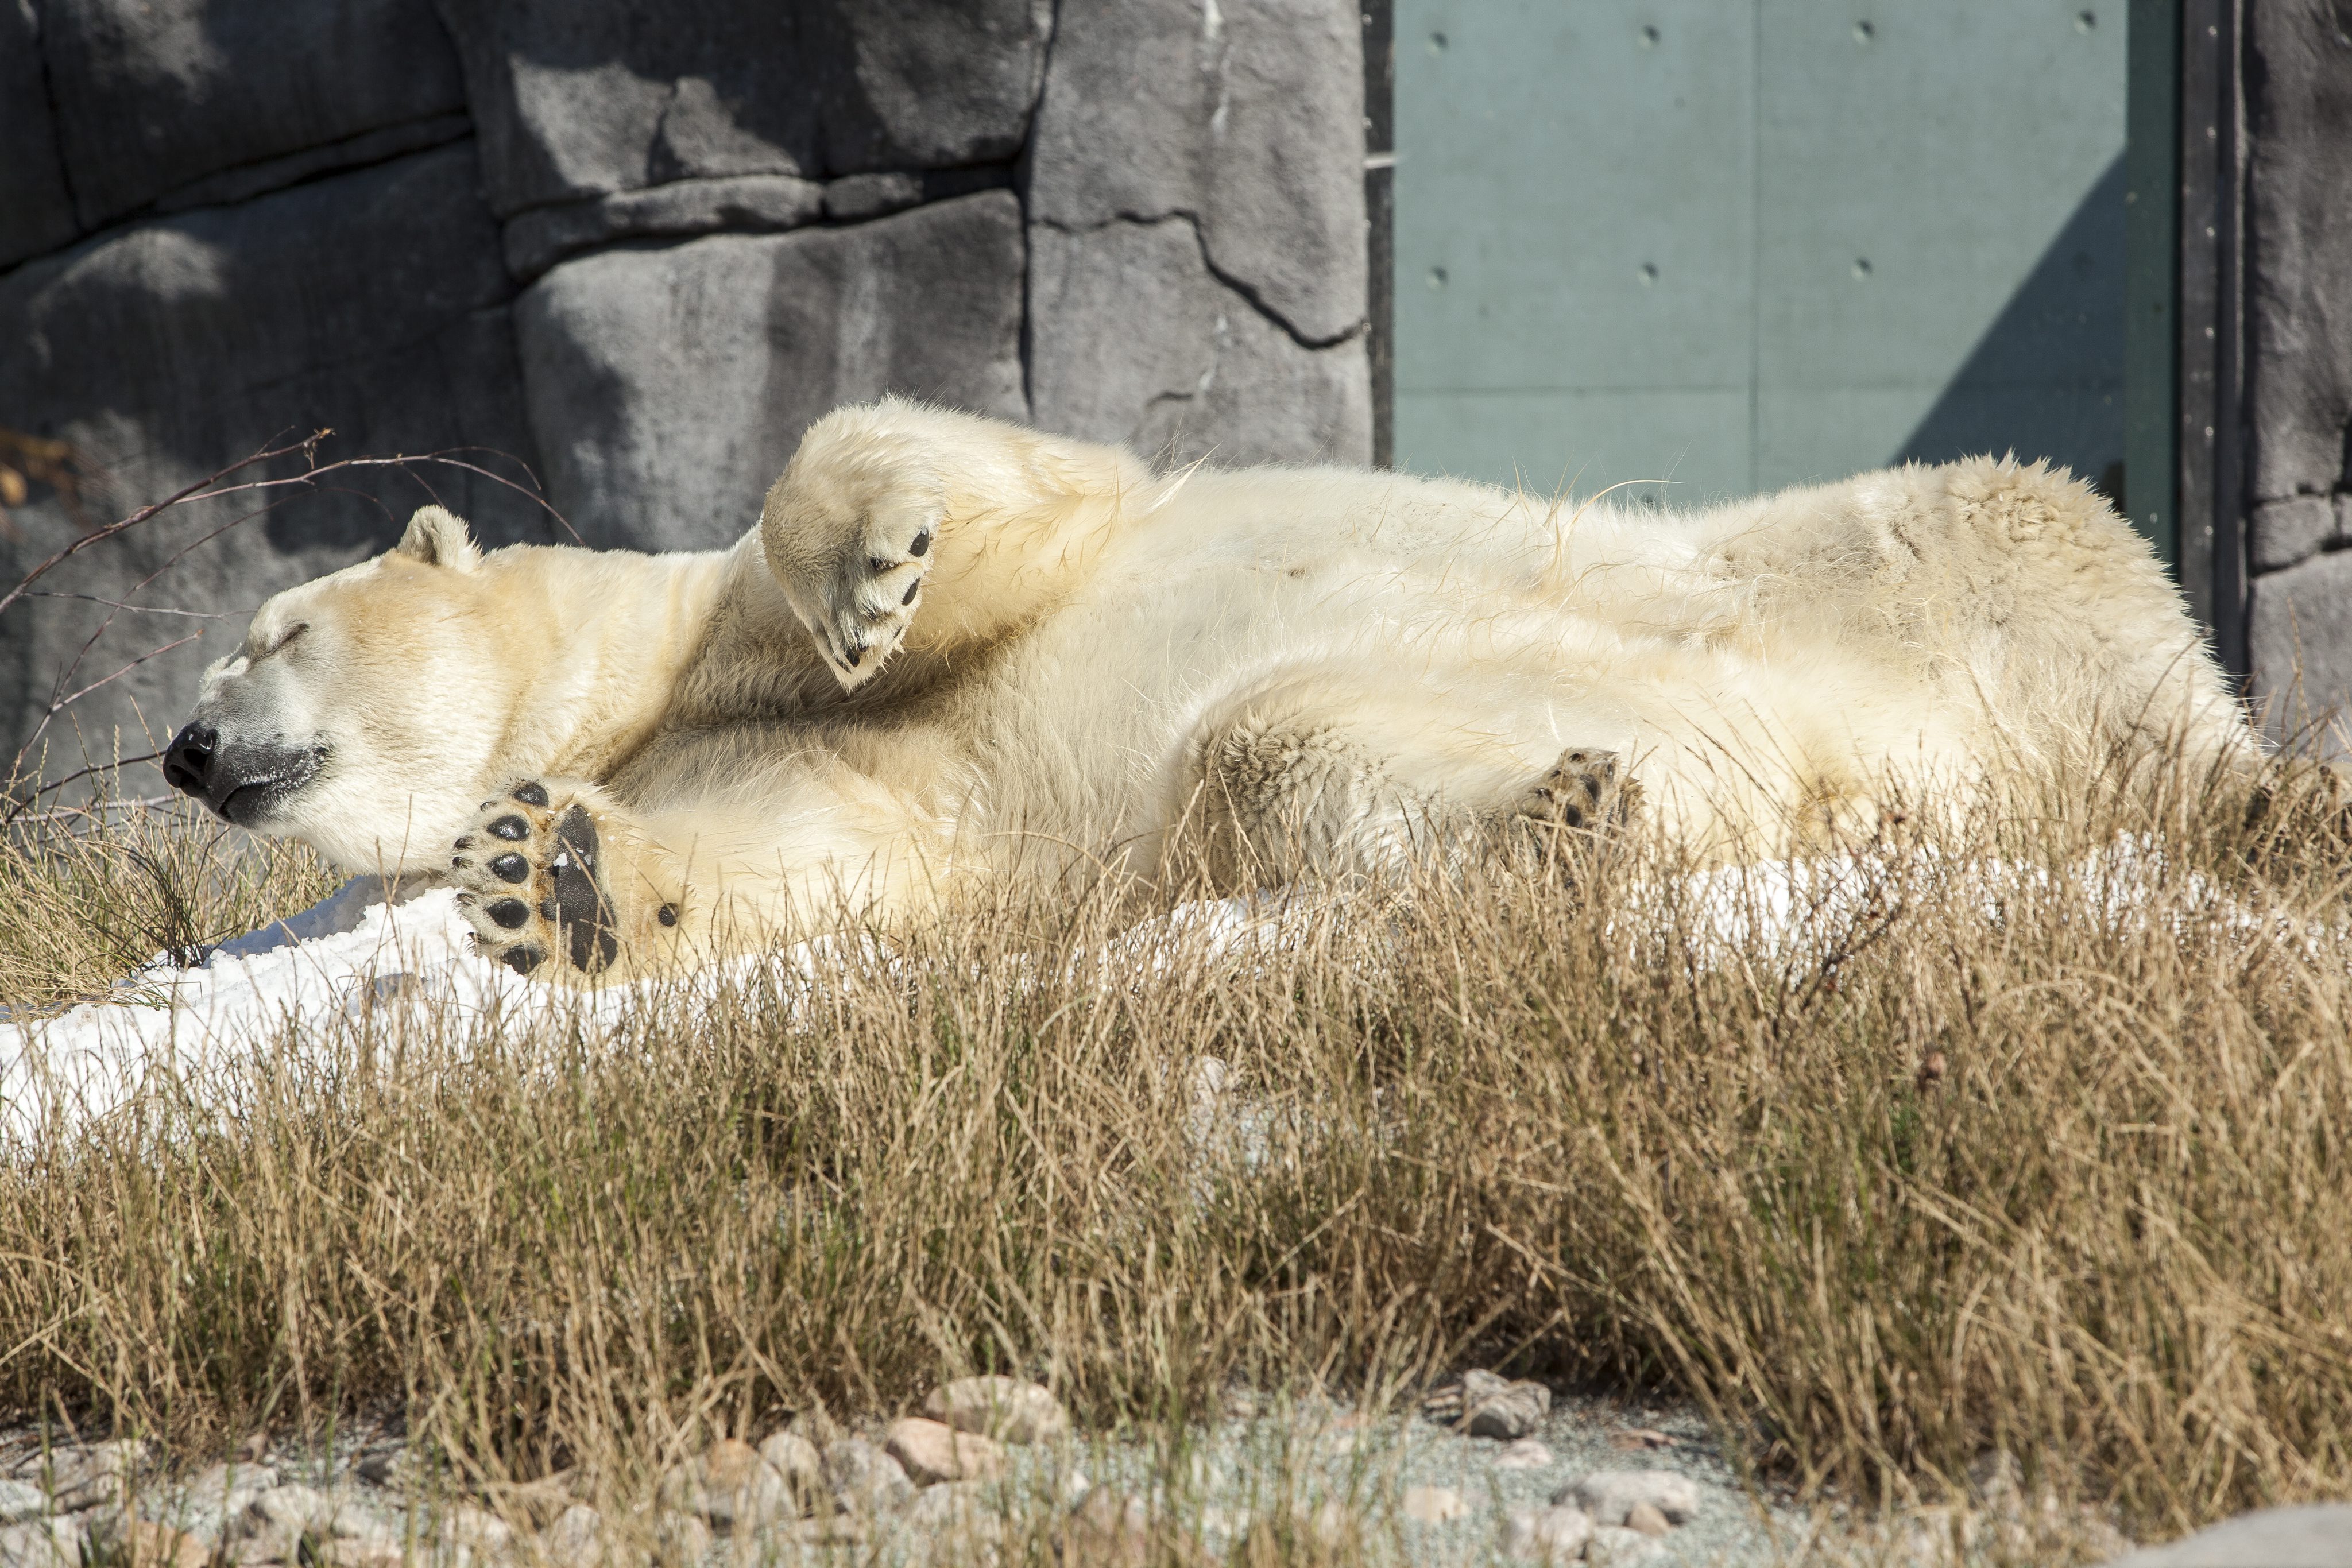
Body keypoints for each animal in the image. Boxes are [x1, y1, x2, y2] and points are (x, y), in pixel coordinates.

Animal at [156, 394, 2248, 982]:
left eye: (270, 629)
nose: (180, 749)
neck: (643, 697)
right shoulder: (779, 778)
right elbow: (808, 862)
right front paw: (551, 876)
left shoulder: (733, 626)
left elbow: (952, 483)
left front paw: (876, 568)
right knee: (1294, 745)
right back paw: (1564, 813)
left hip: (1917, 550)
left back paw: (2256, 793)